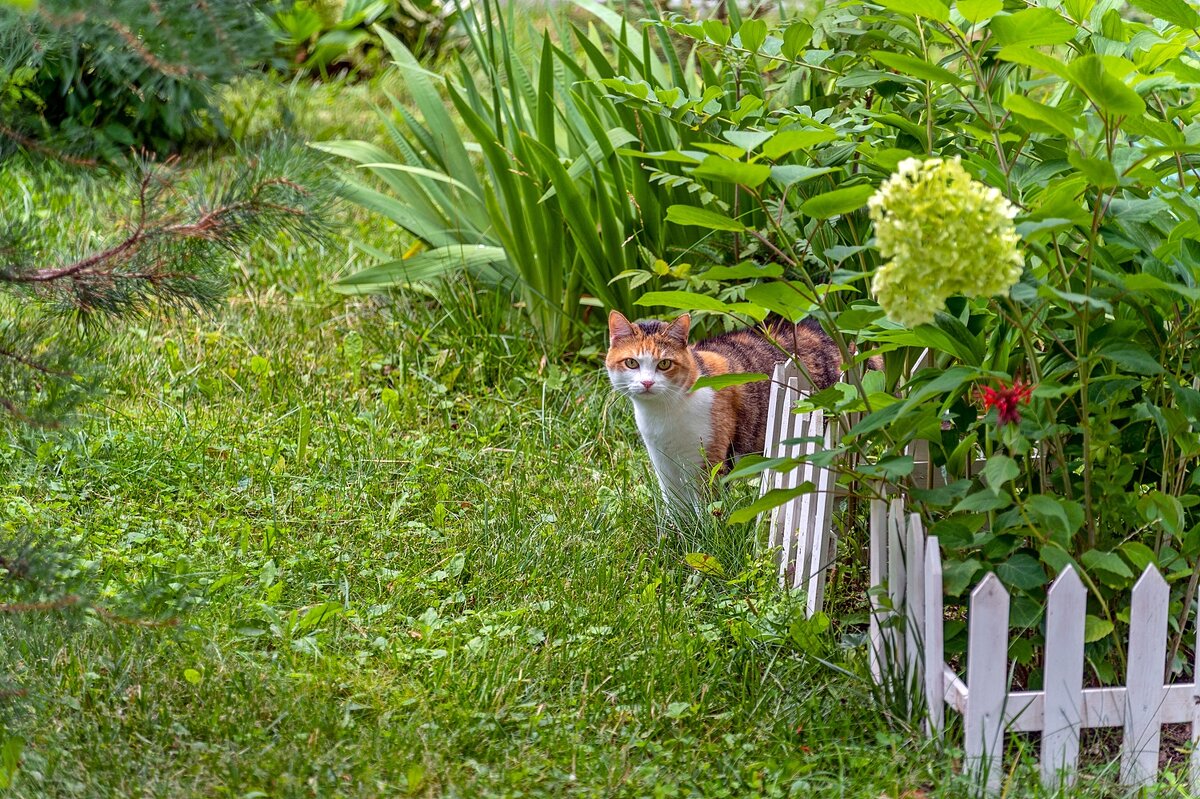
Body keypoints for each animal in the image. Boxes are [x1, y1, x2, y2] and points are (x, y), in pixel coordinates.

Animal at [609, 307, 854, 506]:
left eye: (664, 364)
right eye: (631, 362)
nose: (647, 383)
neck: (664, 413)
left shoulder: (711, 459)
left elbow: (708, 507)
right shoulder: (663, 462)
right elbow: (675, 507)